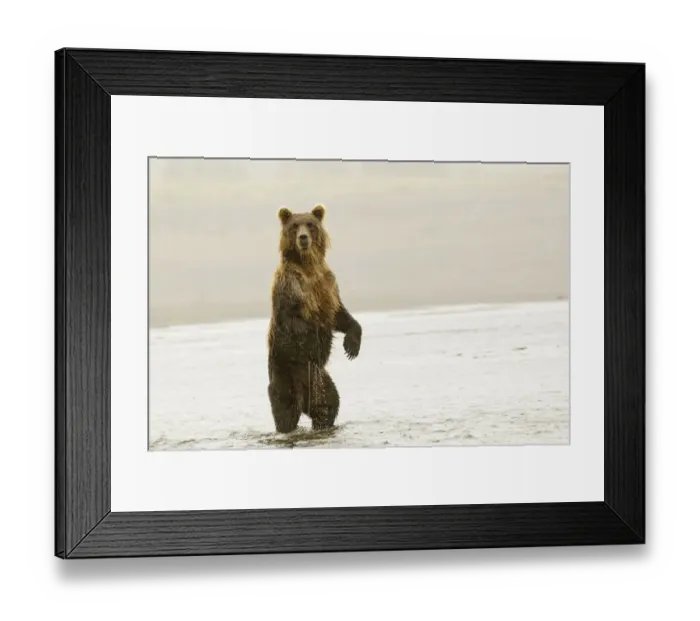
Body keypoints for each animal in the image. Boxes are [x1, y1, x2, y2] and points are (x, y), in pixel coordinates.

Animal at [266, 203, 362, 434]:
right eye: (295, 226)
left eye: (310, 224)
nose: (303, 238)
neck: (307, 265)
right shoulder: (290, 286)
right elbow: (296, 320)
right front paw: (317, 334)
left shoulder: (327, 283)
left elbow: (340, 314)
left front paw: (352, 345)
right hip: (287, 374)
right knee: (285, 411)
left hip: (317, 381)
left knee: (328, 405)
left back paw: (322, 425)